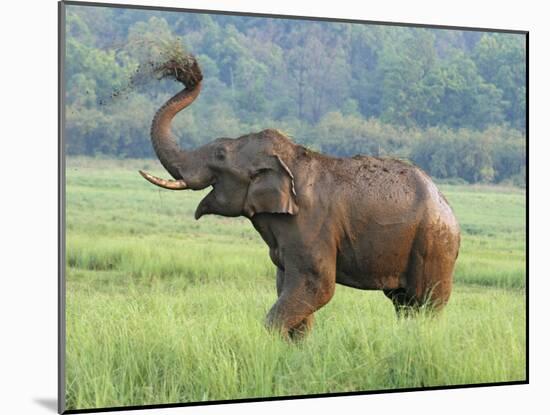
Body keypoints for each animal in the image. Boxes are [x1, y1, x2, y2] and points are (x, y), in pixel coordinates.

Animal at [139, 56, 462, 342]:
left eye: (219, 154)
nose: (188, 73)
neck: (289, 158)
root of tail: (447, 206)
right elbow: (288, 287)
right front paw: (297, 349)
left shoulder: (311, 226)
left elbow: (316, 286)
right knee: (403, 303)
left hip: (434, 245)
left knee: (426, 304)